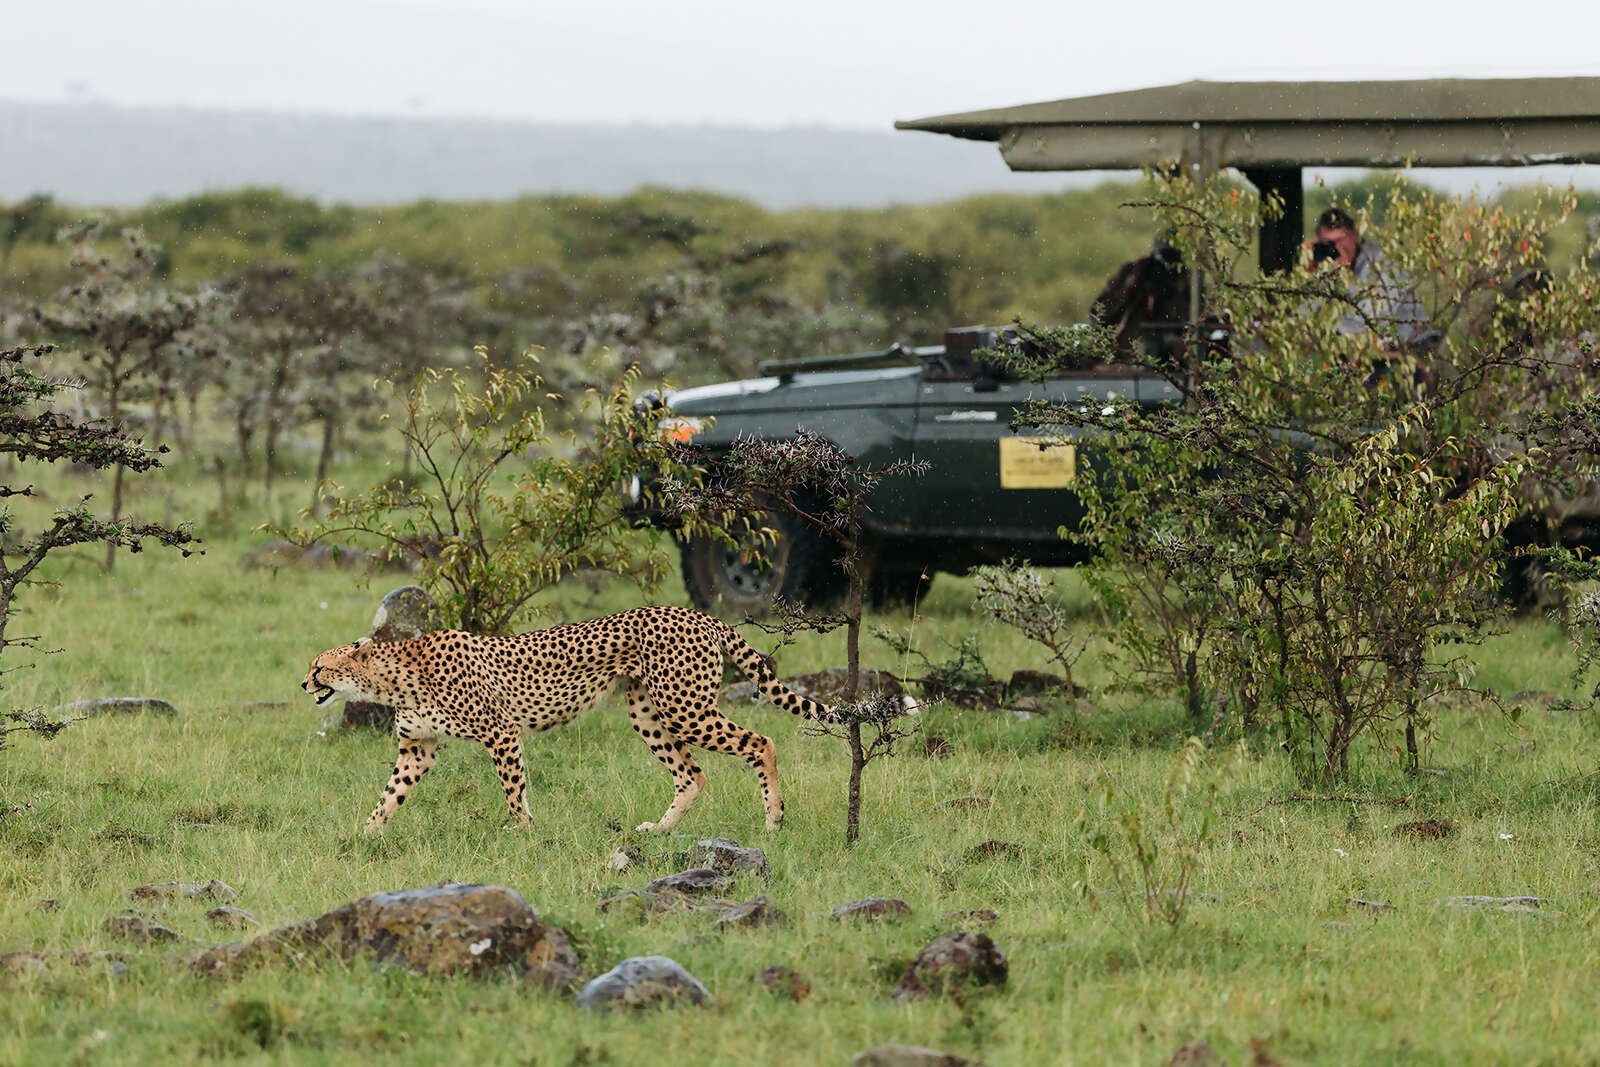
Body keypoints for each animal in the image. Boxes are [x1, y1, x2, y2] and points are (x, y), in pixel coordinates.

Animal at [300, 604, 835, 834]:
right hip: (647, 710)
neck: (394, 677)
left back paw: (774, 818)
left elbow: (514, 792)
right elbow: (387, 798)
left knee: (761, 743)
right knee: (692, 775)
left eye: (319, 667)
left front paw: (524, 835)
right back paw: (659, 831)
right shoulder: (418, 749)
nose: (304, 684)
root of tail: (696, 613)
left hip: (686, 708)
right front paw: (363, 836)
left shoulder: (501, 733)